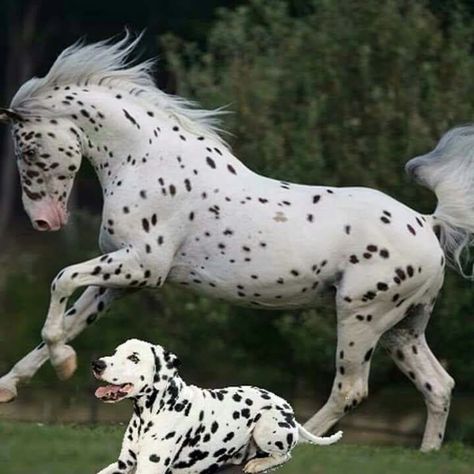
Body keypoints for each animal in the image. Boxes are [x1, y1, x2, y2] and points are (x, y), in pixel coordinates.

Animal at [0, 34, 468, 452]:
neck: (148, 162)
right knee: (438, 384)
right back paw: (428, 453)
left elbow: (61, 280)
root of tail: (427, 223)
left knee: (350, 389)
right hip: (401, 328)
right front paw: (15, 384)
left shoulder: (141, 267)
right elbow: (70, 323)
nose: (43, 221)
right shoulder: (120, 279)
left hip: (360, 316)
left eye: (27, 149)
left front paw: (62, 363)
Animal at [92, 338, 342, 472]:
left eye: (133, 357)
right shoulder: (123, 465)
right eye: (115, 352)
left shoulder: (149, 469)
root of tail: (288, 409)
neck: (150, 414)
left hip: (266, 429)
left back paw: (259, 464)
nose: (97, 363)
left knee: (285, 455)